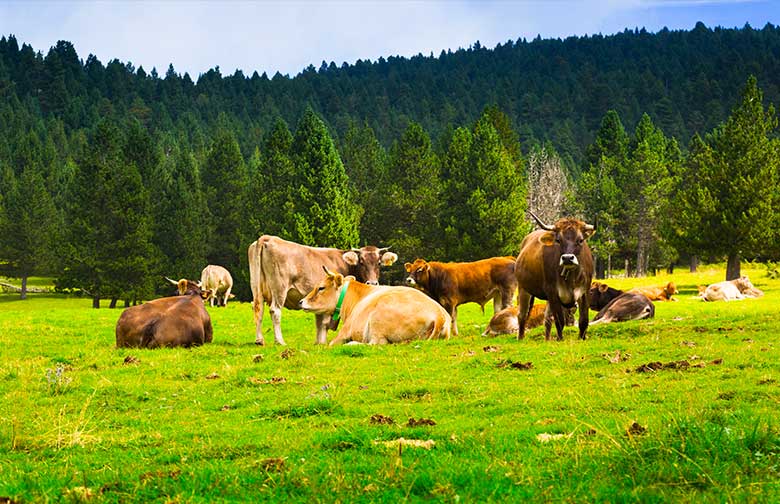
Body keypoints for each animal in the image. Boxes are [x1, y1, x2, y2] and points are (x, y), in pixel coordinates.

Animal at [248, 236, 400, 346]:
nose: (372, 282)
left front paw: (318, 342)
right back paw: (280, 341)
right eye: (361, 262)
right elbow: (325, 324)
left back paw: (259, 340)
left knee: (258, 309)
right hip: (280, 287)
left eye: (379, 263)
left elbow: (319, 322)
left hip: (256, 287)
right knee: (275, 311)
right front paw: (322, 342)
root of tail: (267, 238)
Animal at [298, 268, 450, 346]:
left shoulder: (345, 331)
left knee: (375, 343)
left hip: (377, 321)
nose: (301, 301)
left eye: (321, 288)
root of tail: (439, 314)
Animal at [516, 211, 596, 340]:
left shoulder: (585, 291)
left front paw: (582, 338)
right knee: (522, 315)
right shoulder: (552, 292)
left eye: (580, 240)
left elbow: (584, 320)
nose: (567, 258)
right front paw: (560, 339)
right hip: (523, 288)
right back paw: (521, 337)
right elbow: (559, 320)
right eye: (558, 240)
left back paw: (547, 339)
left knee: (547, 318)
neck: (571, 278)